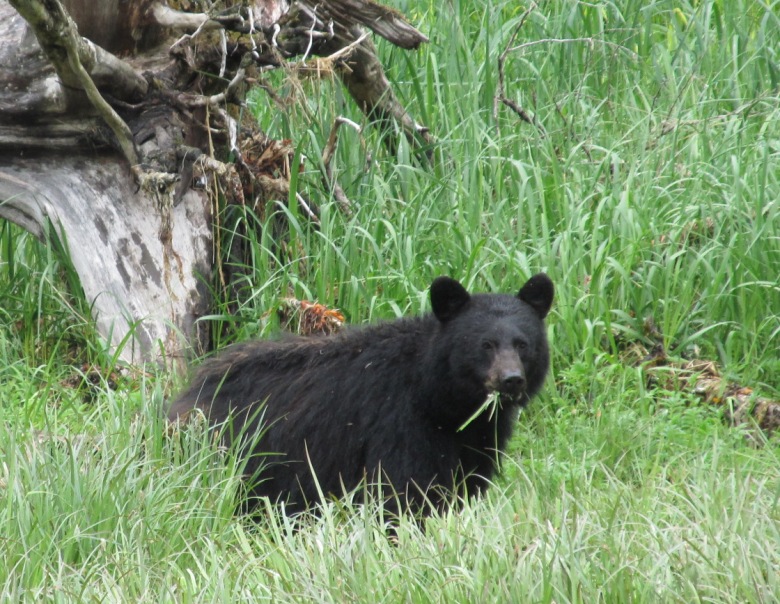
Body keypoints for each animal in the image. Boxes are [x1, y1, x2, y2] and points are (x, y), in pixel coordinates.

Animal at [168, 274, 552, 516]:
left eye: (522, 344)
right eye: (485, 345)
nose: (511, 380)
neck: (441, 398)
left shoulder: (477, 436)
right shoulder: (398, 423)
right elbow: (404, 492)